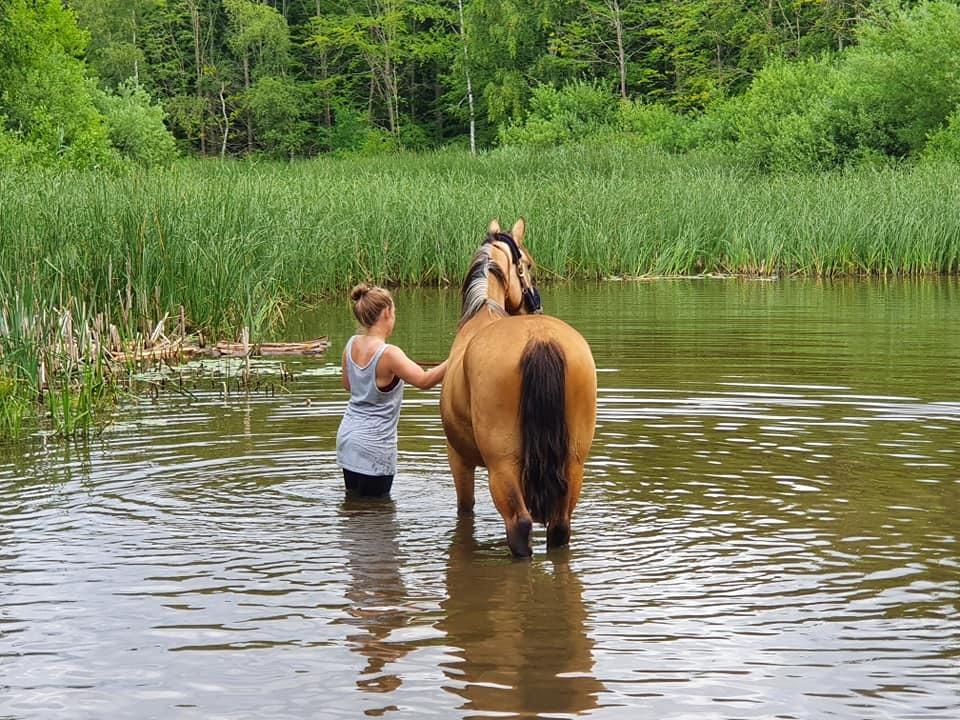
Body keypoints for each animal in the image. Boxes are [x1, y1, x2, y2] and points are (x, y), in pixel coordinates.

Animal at [438, 218, 596, 556]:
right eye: (530, 263)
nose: (534, 304)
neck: (482, 312)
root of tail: (539, 338)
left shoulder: (458, 459)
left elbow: (465, 509)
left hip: (502, 467)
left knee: (518, 524)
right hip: (574, 464)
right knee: (560, 526)